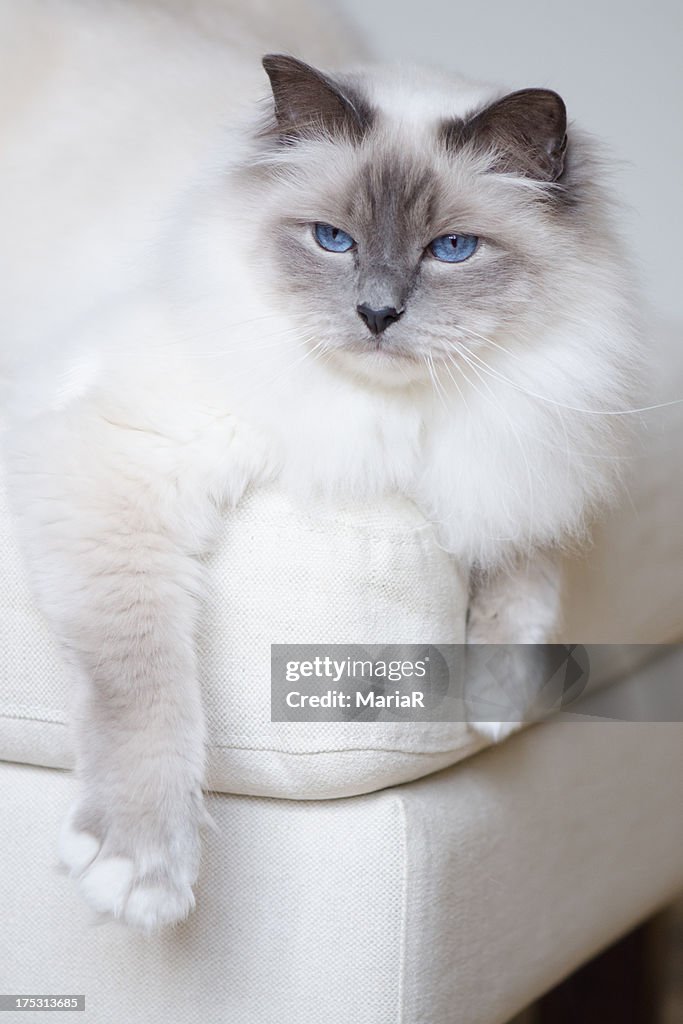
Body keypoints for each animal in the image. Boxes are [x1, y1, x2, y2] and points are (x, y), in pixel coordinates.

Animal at [0, 0, 643, 933]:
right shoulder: (121, 456)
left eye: (452, 249)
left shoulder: (520, 452)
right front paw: (140, 866)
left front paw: (493, 701)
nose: (375, 314)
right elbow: (141, 675)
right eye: (331, 240)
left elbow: (525, 578)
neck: (401, 422)